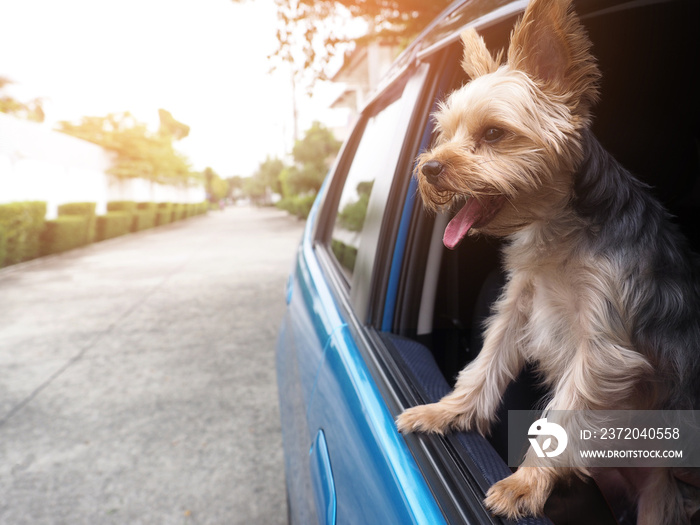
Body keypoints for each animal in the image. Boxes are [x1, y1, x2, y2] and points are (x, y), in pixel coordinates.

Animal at [396, 0, 696, 520]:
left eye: (494, 133)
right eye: (444, 134)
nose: (429, 168)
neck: (559, 231)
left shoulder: (602, 345)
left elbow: (566, 408)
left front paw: (525, 483)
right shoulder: (519, 303)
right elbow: (485, 362)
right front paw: (447, 411)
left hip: (662, 491)